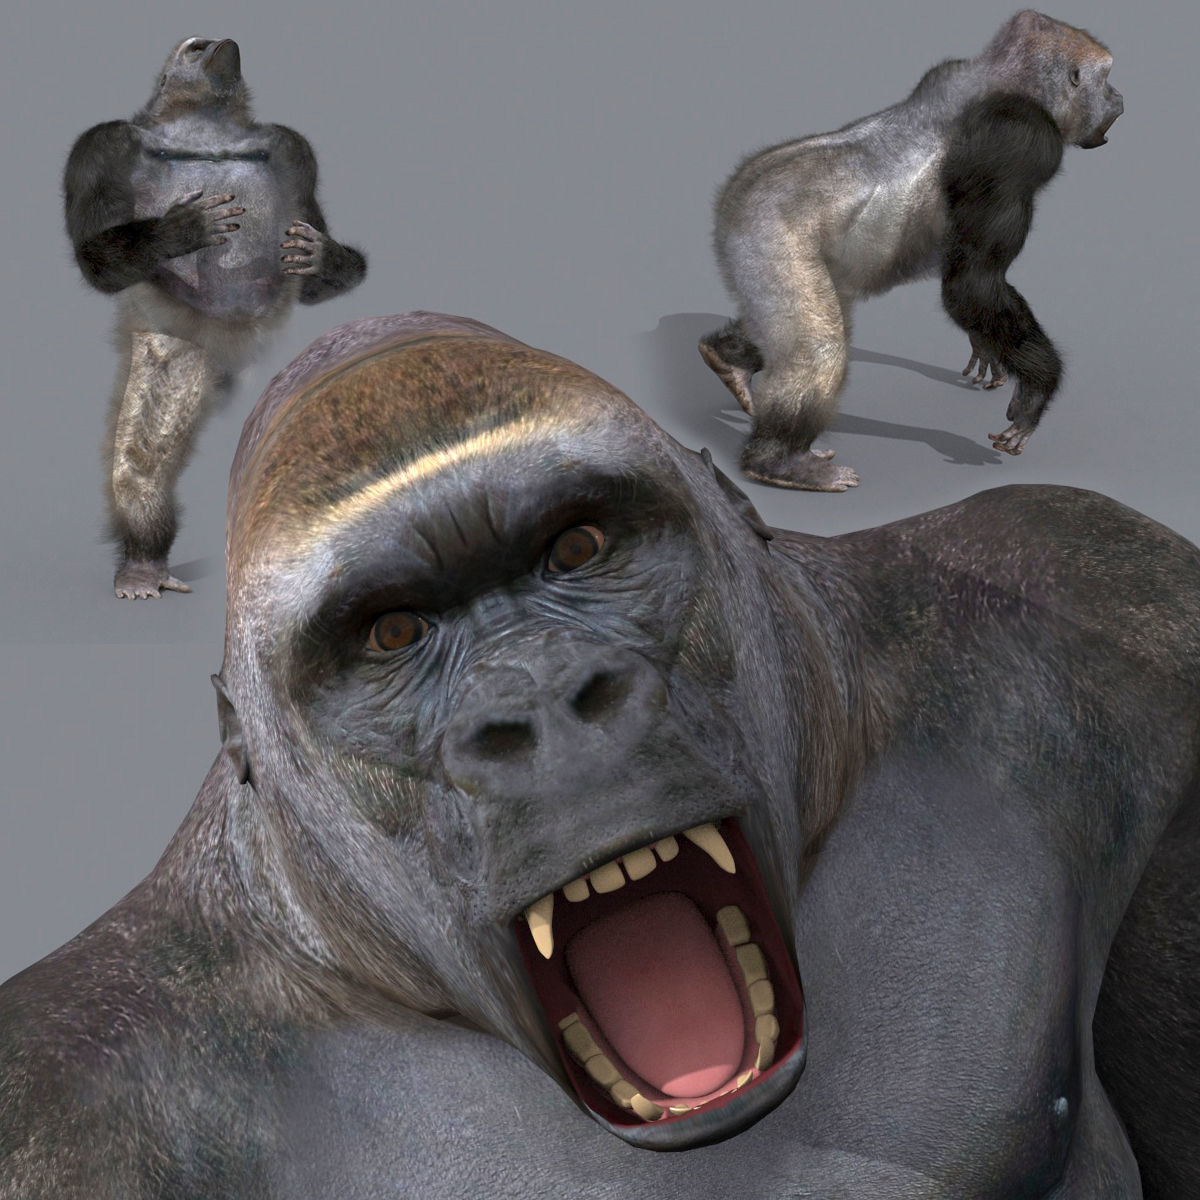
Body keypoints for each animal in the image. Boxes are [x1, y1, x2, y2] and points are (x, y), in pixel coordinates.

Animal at [64, 37, 366, 598]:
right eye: (196, 46)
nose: (225, 45)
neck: (208, 126)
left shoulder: (294, 149)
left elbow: (312, 267)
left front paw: (324, 258)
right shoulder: (100, 147)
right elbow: (93, 254)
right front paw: (175, 233)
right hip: (186, 346)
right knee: (143, 460)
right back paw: (143, 565)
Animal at [700, 10, 1124, 490]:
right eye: (1105, 80)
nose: (1119, 98)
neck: (1003, 75)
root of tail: (736, 189)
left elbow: (973, 291)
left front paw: (987, 348)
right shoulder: (1019, 139)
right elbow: (972, 283)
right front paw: (1037, 388)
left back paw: (726, 358)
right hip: (761, 229)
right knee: (819, 348)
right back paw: (779, 462)